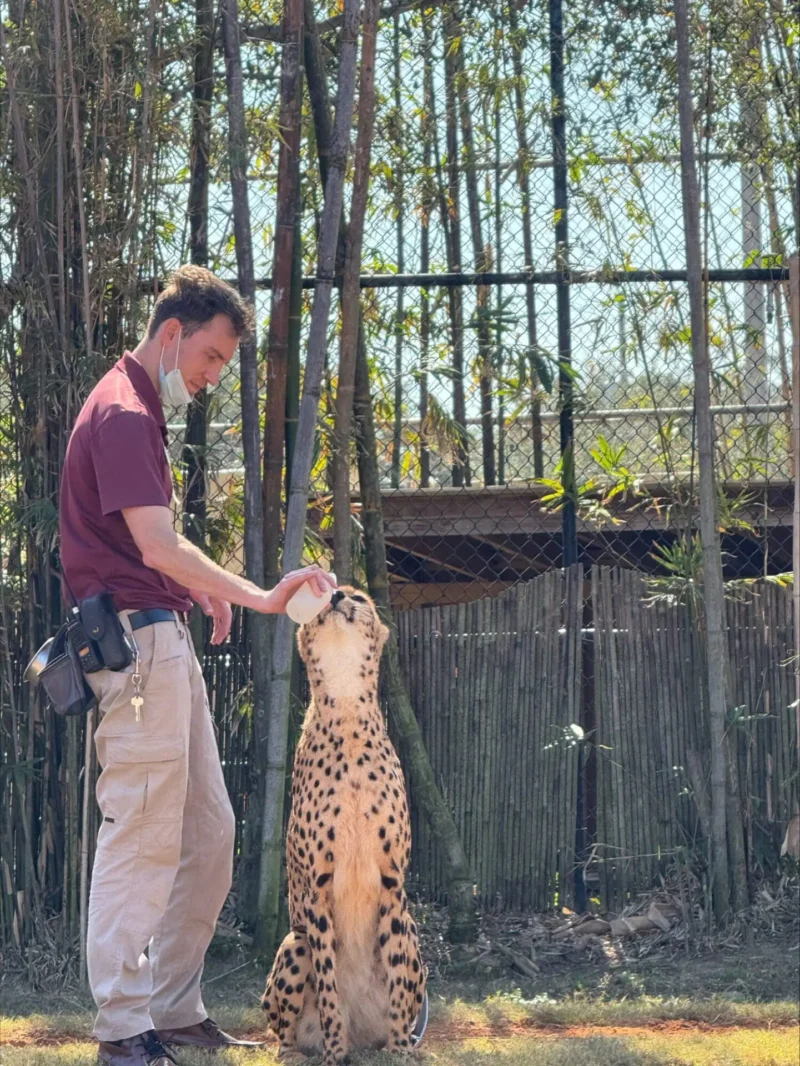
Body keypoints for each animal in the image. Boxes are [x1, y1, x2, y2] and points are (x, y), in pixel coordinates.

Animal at [261, 586, 426, 1065]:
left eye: (359, 596)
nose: (334, 594)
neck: (349, 712)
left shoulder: (393, 882)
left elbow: (396, 977)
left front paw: (401, 1049)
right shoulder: (317, 887)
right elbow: (330, 986)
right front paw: (335, 1052)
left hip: (413, 929)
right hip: (293, 942)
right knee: (285, 1030)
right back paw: (298, 1052)